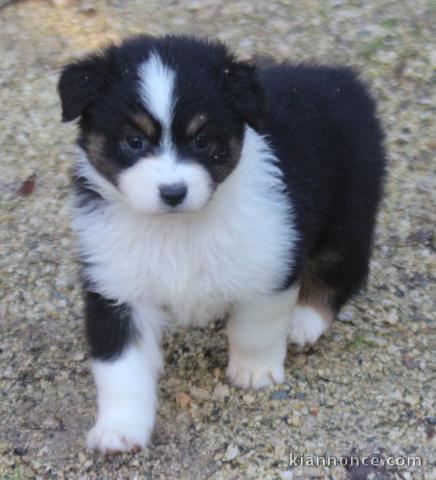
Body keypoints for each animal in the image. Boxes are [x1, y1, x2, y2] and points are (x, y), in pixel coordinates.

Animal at [57, 35, 384, 452]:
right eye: (134, 141)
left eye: (202, 139)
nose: (173, 193)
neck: (177, 228)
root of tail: (343, 78)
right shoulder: (114, 286)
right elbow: (121, 368)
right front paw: (119, 429)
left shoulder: (270, 259)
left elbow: (255, 330)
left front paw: (254, 371)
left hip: (350, 209)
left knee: (342, 270)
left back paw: (304, 321)